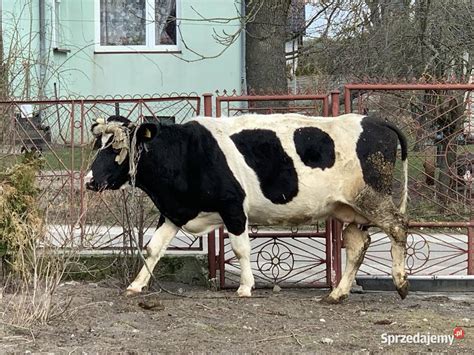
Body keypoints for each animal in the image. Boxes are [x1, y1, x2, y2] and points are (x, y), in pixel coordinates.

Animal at [84, 113, 408, 304]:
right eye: (98, 145)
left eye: (116, 148)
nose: (89, 180)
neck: (185, 152)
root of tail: (375, 121)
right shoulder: (175, 212)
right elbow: (153, 249)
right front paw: (136, 286)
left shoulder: (233, 208)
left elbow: (241, 249)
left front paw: (245, 287)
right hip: (350, 209)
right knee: (357, 244)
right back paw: (337, 293)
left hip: (372, 199)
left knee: (398, 227)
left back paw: (401, 283)